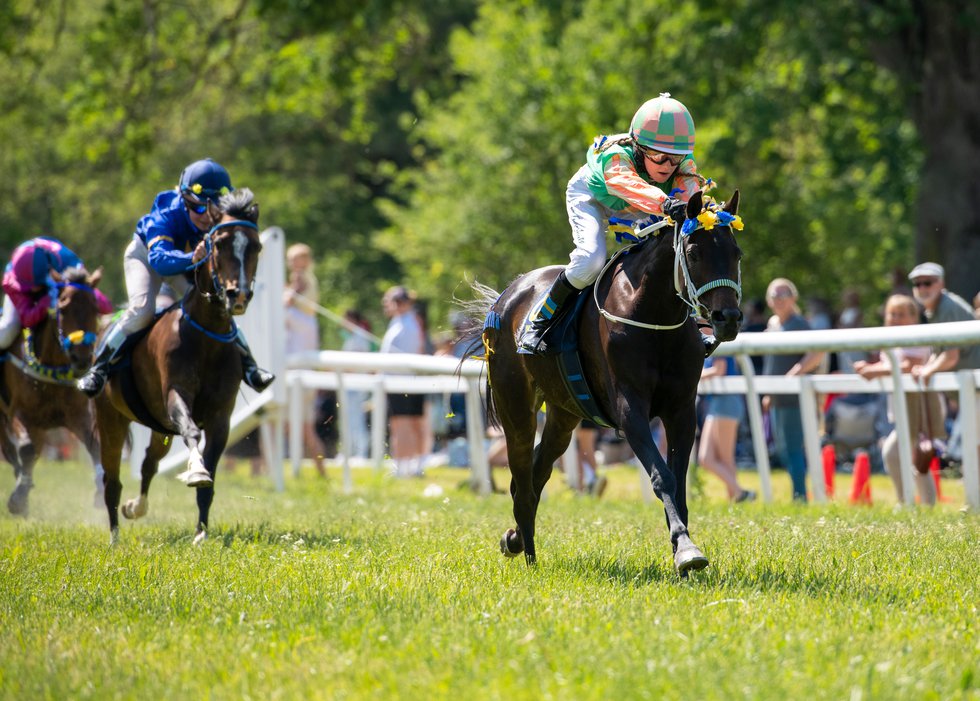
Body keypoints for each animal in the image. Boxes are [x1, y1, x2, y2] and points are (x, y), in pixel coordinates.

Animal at [0, 266, 105, 516]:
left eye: (95, 308)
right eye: (63, 308)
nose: (81, 358)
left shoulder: (78, 414)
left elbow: (95, 444)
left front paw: (100, 492)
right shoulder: (19, 412)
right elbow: (26, 449)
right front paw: (18, 499)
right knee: (12, 450)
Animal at [94, 189, 264, 544]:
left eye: (255, 245)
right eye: (219, 244)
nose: (237, 295)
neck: (206, 339)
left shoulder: (221, 415)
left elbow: (210, 469)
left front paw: (201, 534)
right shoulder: (175, 395)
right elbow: (192, 434)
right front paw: (195, 470)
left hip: (158, 426)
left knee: (148, 464)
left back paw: (136, 508)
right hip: (110, 417)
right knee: (111, 480)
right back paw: (115, 538)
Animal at [468, 190, 744, 576]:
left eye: (736, 253)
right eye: (694, 253)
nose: (727, 318)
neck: (654, 317)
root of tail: (508, 294)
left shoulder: (682, 411)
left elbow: (679, 482)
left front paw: (683, 549)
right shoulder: (630, 409)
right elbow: (662, 477)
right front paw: (687, 549)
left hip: (564, 414)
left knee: (538, 473)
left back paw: (515, 539)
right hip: (516, 409)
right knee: (522, 480)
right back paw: (529, 556)